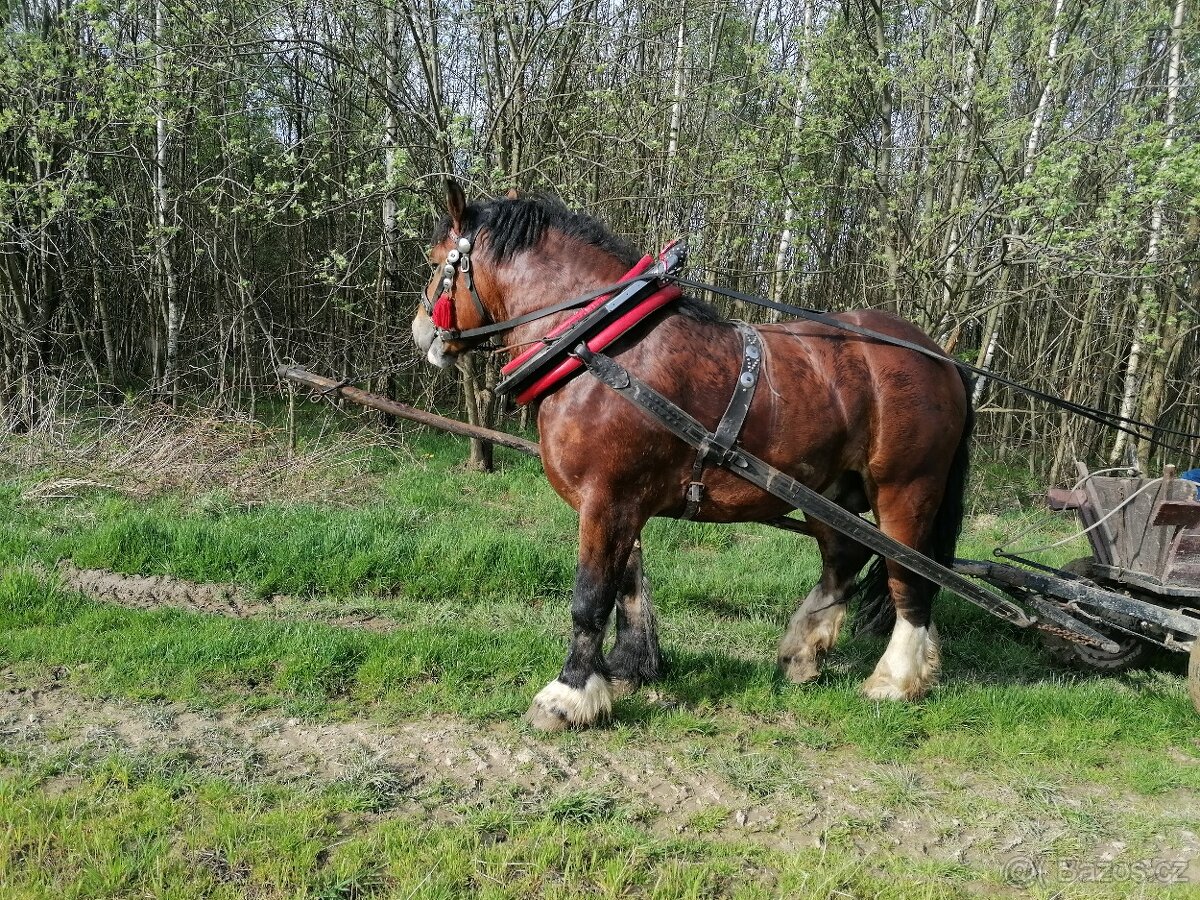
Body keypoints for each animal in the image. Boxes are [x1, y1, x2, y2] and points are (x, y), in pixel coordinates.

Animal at [412, 181, 974, 734]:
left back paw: (894, 680)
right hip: (829, 490)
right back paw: (801, 652)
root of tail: (943, 359)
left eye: (437, 259)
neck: (599, 347)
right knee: (844, 556)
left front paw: (567, 695)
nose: (421, 331)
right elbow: (628, 590)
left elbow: (591, 598)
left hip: (906, 489)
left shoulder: (606, 500)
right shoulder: (623, 504)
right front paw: (624, 673)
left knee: (909, 575)